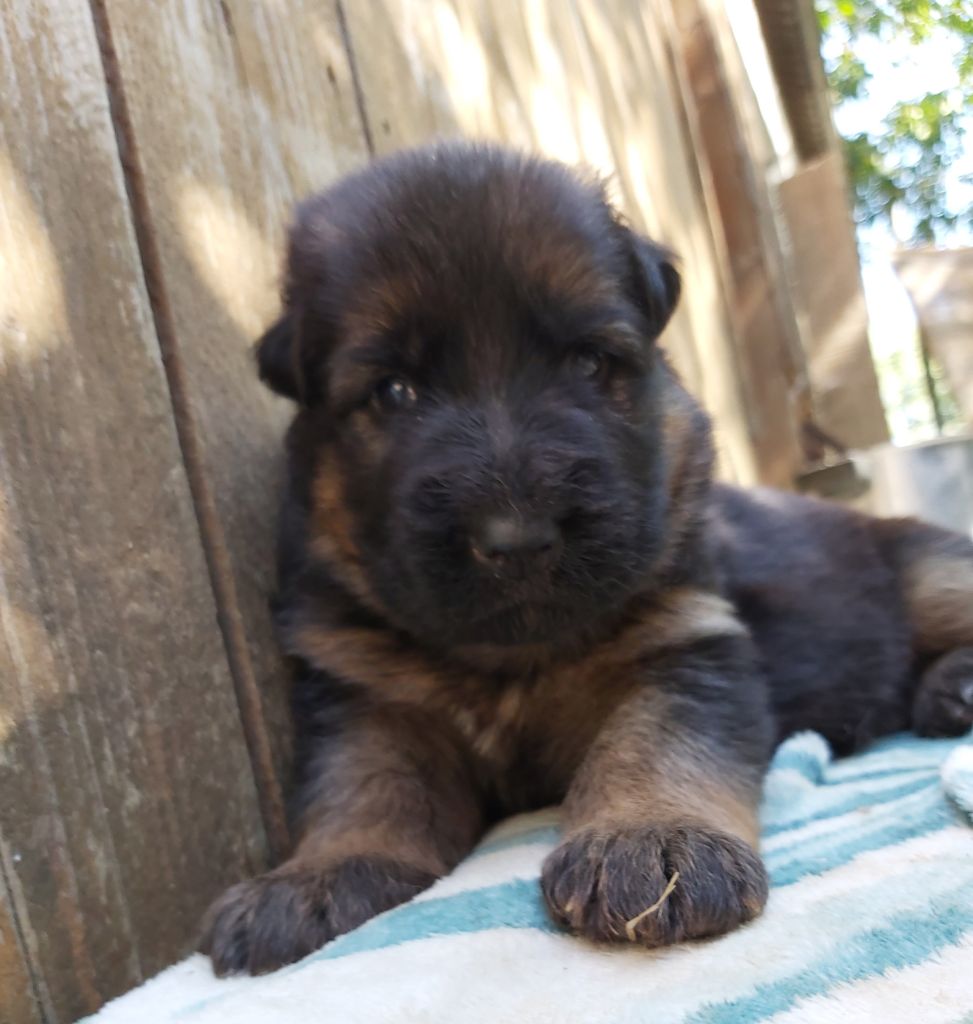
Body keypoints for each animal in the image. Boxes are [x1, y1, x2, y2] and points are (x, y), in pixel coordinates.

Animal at [199, 144, 973, 974]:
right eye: (394, 390)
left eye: (587, 362)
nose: (517, 539)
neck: (508, 658)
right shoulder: (363, 689)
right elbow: (359, 781)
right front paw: (317, 873)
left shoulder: (683, 644)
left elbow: (651, 745)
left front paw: (651, 838)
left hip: (931, 575)